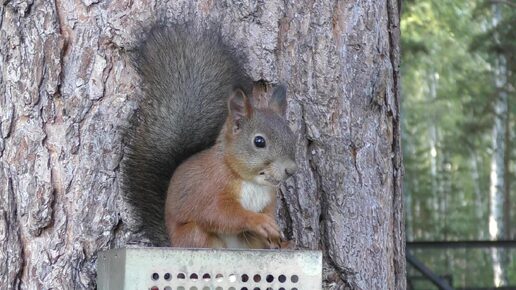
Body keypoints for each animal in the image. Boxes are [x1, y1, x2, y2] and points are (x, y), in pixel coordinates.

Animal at [122, 24, 296, 249]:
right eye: (259, 141)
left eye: (292, 137)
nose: (291, 170)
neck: (251, 181)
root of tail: (171, 242)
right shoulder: (211, 189)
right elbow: (219, 215)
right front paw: (258, 222)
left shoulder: (268, 201)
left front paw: (276, 236)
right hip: (196, 237)